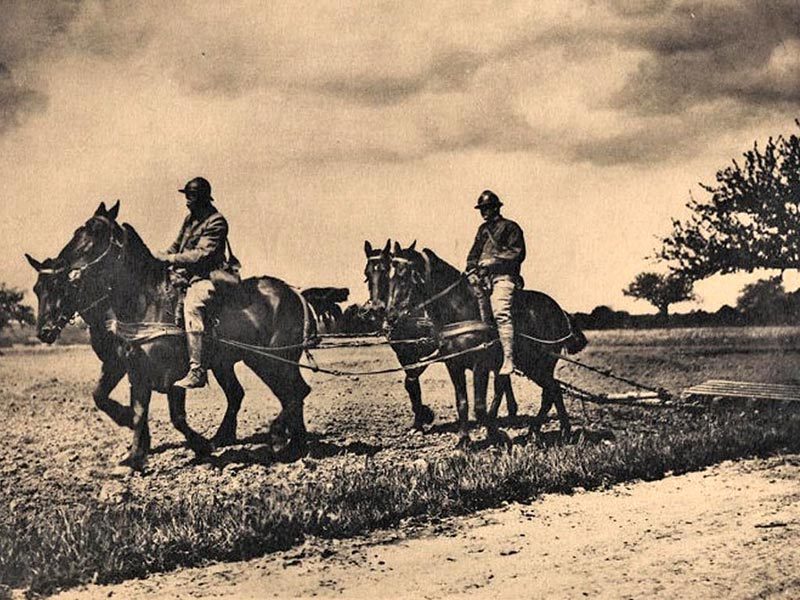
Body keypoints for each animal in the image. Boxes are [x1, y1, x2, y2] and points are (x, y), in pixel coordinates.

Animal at [25, 204, 312, 472]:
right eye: (37, 289)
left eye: (94, 232)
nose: (44, 331)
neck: (146, 301)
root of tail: (293, 292)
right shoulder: (129, 367)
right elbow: (120, 404)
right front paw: (135, 454)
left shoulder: (171, 374)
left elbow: (176, 417)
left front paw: (198, 445)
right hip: (242, 362)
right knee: (264, 394)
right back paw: (284, 444)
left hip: (273, 359)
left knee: (296, 392)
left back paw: (279, 438)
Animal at [364, 237, 516, 428]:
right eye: (367, 274)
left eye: (385, 272)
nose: (377, 309)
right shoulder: (405, 354)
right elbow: (410, 383)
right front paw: (419, 419)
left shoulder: (429, 353)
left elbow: (411, 381)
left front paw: (424, 415)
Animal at [388, 241, 588, 448]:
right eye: (390, 278)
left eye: (404, 278)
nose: (391, 318)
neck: (461, 309)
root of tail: (560, 311)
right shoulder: (453, 365)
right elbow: (462, 403)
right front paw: (464, 440)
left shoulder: (480, 365)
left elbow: (479, 406)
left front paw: (498, 435)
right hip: (531, 366)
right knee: (553, 389)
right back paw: (555, 431)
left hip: (540, 364)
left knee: (551, 392)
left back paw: (549, 431)